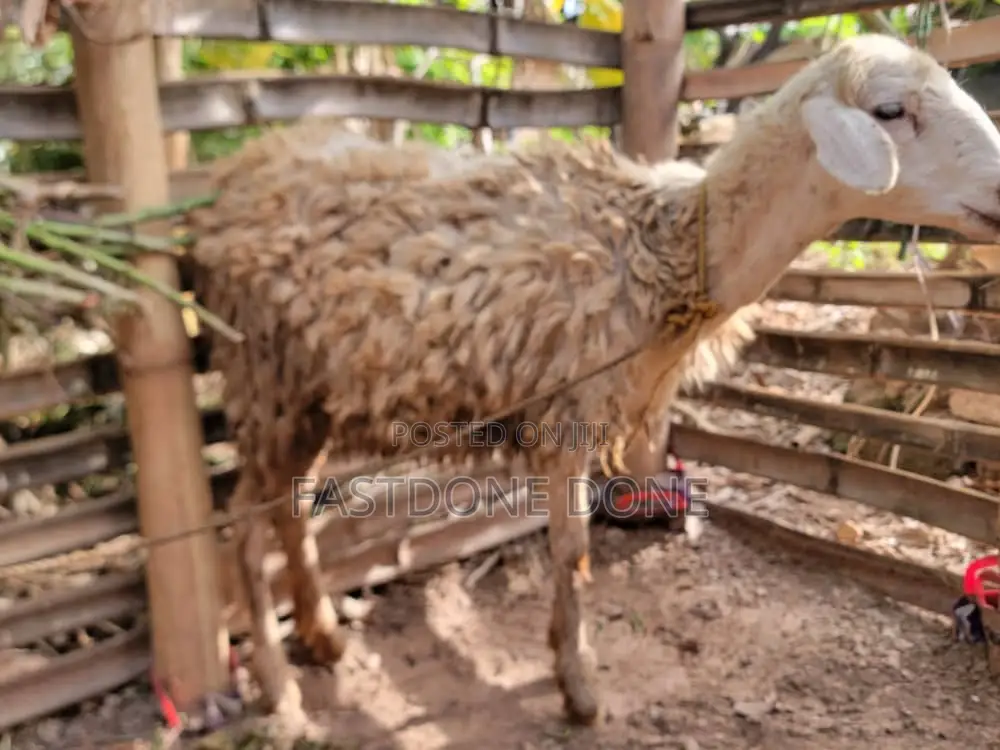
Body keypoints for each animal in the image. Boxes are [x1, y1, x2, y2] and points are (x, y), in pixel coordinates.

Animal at [187, 33, 1000, 729]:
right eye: (891, 111)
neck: (664, 245)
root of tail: (234, 175)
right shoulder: (568, 411)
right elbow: (571, 551)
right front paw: (577, 685)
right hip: (262, 373)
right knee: (241, 526)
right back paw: (279, 687)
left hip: (307, 391)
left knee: (290, 512)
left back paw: (321, 636)